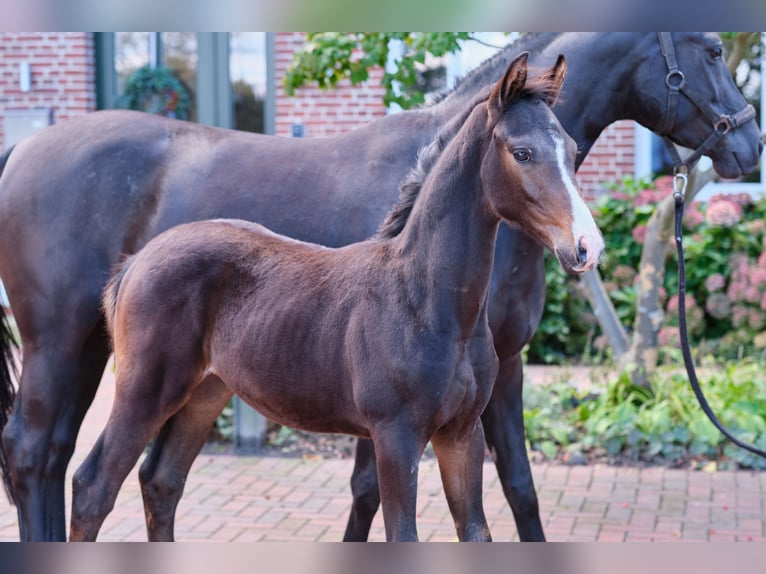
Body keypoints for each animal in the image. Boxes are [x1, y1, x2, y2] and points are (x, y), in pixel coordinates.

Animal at [0, 32, 760, 544]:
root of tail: (138, 262)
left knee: (153, 482)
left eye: (573, 152)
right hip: (101, 365)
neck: (429, 298)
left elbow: (502, 506)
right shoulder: (395, 432)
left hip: (198, 389)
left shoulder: (463, 425)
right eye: (713, 49)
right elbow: (389, 514)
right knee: (71, 475)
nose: (747, 145)